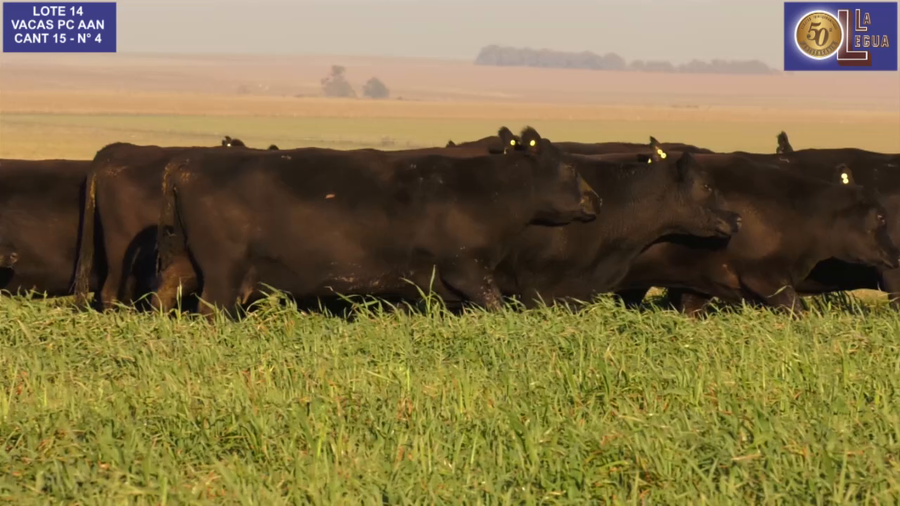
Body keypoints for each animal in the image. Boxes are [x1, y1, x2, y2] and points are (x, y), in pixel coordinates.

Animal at [152, 127, 599, 317]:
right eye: (570, 168)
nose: (595, 199)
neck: (486, 191)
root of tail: (186, 164)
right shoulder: (467, 267)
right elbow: (498, 306)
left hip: (183, 262)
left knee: (163, 296)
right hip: (223, 272)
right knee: (210, 311)